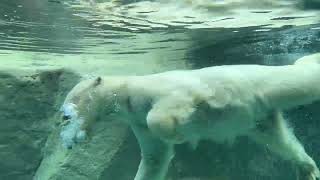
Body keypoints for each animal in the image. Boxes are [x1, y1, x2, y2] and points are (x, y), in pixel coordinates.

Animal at [58, 53, 318, 180]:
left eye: (67, 113)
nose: (67, 140)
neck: (126, 92)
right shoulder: (137, 121)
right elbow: (155, 157)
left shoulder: (158, 93)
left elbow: (164, 113)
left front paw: (179, 134)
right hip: (258, 115)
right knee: (278, 139)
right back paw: (308, 169)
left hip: (267, 85)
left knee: (303, 79)